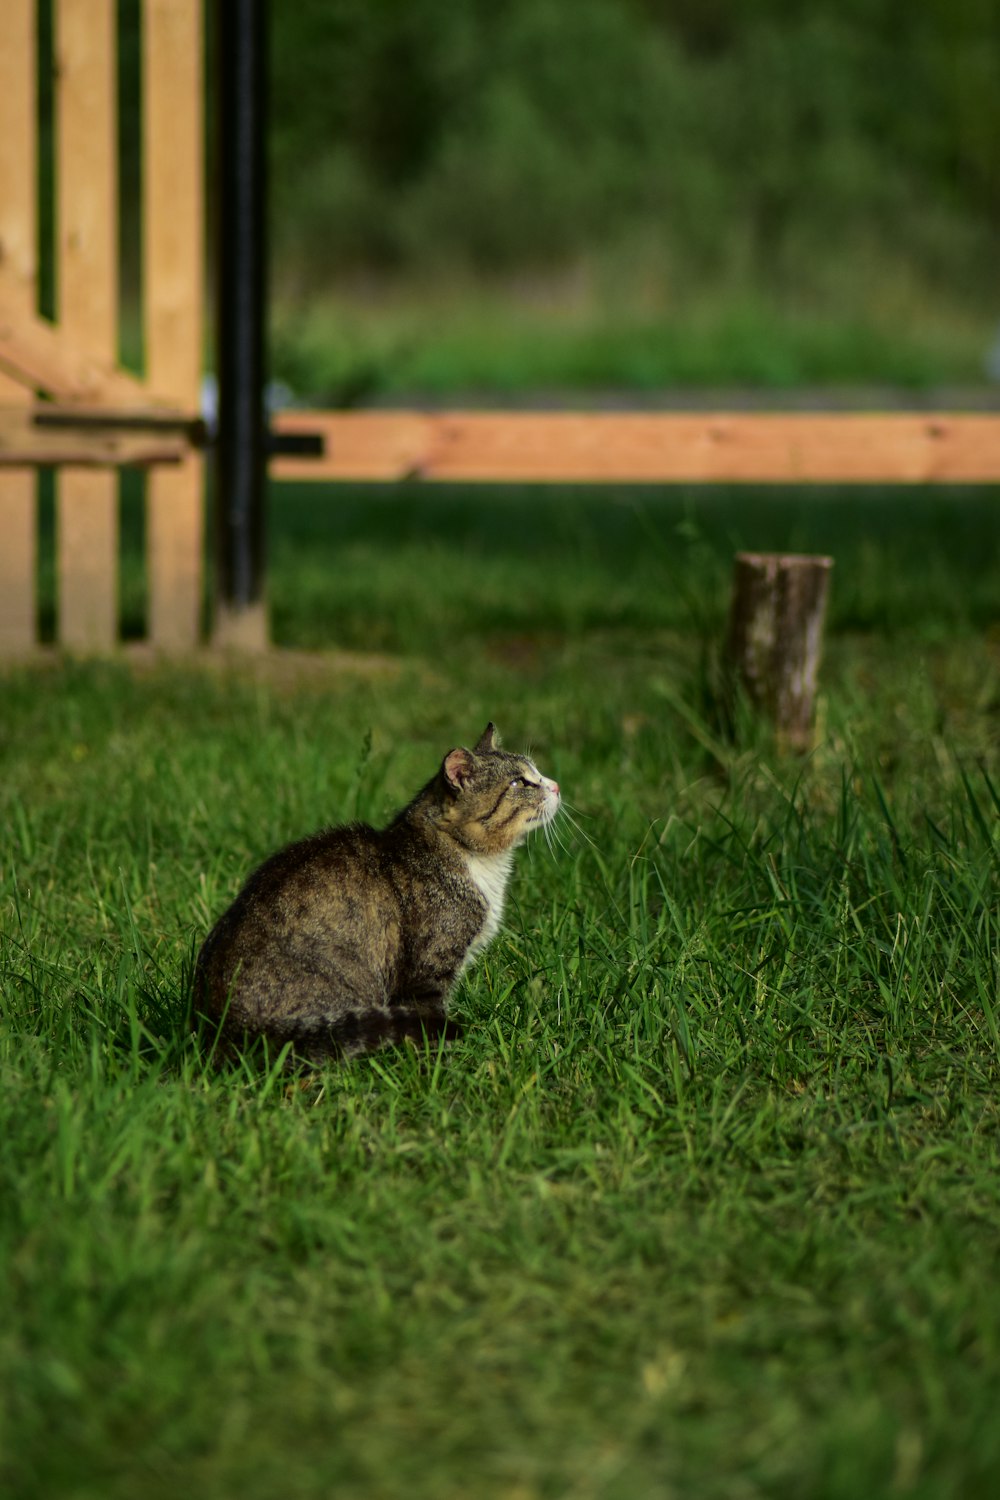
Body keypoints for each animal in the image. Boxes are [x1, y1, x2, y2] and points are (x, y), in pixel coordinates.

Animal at [191, 729, 560, 1068]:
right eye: (519, 782)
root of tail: (220, 1028)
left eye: (535, 773)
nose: (556, 786)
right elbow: (430, 1020)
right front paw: (441, 1064)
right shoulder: (427, 971)